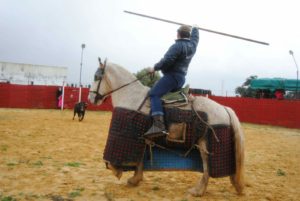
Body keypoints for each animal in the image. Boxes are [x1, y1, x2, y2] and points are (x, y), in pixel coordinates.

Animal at [87, 58, 244, 196]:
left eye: (96, 77)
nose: (90, 99)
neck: (131, 95)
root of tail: (224, 109)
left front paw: (118, 172)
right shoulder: (141, 138)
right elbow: (140, 158)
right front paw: (135, 179)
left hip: (204, 144)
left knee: (207, 168)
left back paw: (197, 191)